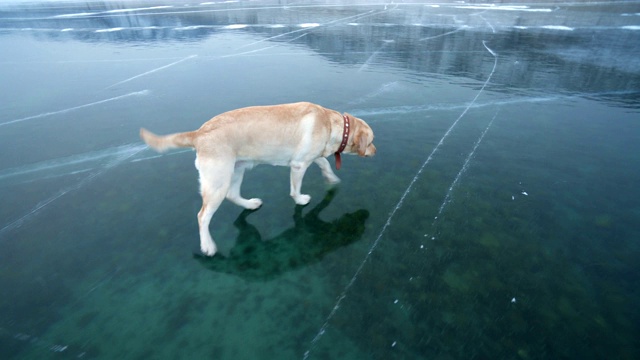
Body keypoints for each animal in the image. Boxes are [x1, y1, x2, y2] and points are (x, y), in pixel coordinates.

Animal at [138, 100, 372, 255]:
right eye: (371, 142)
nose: (376, 151)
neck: (331, 124)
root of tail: (198, 133)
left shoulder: (311, 156)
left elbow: (324, 163)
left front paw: (332, 179)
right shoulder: (298, 165)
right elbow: (295, 189)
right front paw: (300, 200)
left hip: (237, 170)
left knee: (233, 195)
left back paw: (250, 204)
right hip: (218, 181)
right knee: (202, 215)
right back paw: (207, 245)